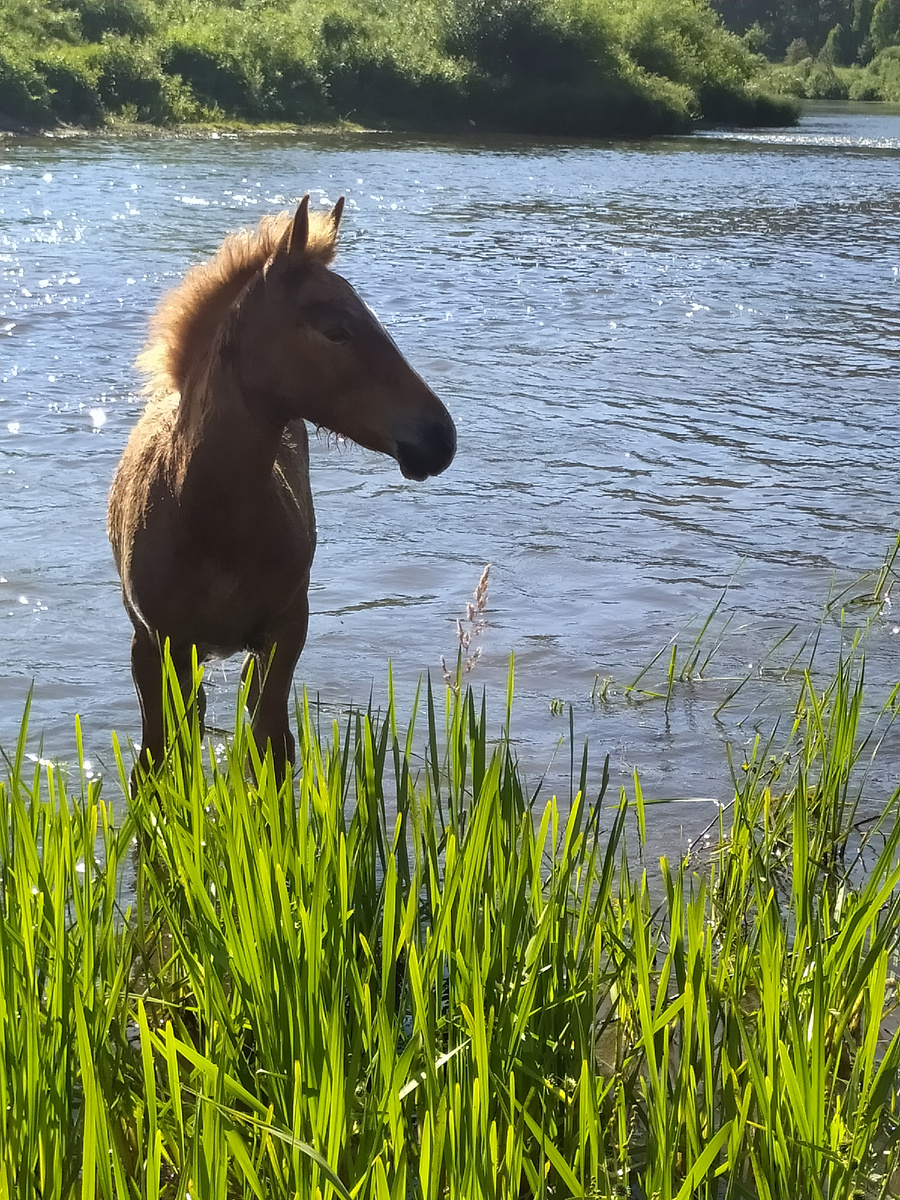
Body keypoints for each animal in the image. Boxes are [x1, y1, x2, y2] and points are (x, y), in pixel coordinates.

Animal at [107, 194, 458, 777]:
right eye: (336, 330)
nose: (440, 437)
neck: (205, 514)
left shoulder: (288, 630)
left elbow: (269, 750)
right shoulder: (155, 643)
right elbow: (159, 760)